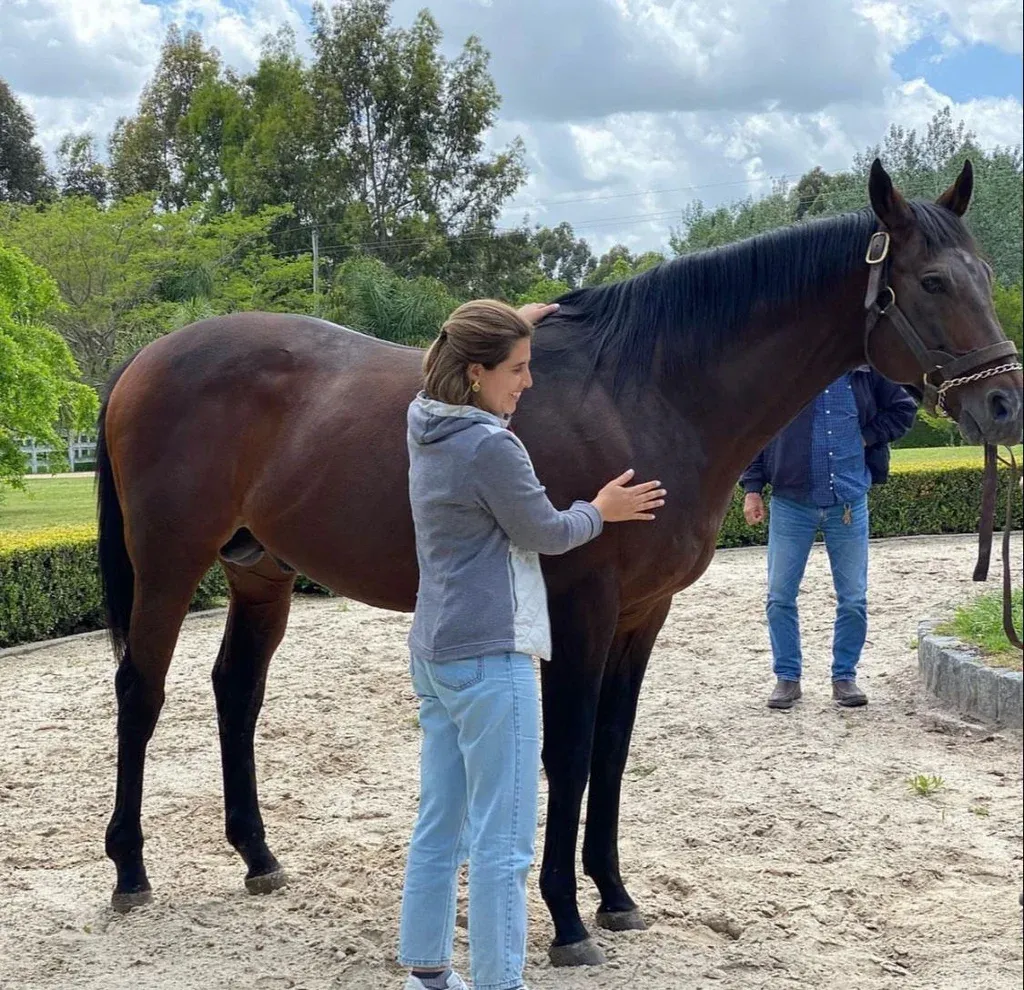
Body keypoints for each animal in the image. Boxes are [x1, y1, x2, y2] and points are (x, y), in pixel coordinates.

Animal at [94, 160, 1015, 958]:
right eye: (933, 282)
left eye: (986, 273)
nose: (1005, 401)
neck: (647, 392)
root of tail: (145, 357)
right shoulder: (582, 608)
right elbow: (567, 752)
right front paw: (568, 920)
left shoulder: (643, 614)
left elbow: (612, 747)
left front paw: (615, 897)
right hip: (169, 565)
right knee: (141, 691)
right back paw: (130, 871)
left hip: (260, 573)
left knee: (236, 693)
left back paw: (258, 857)